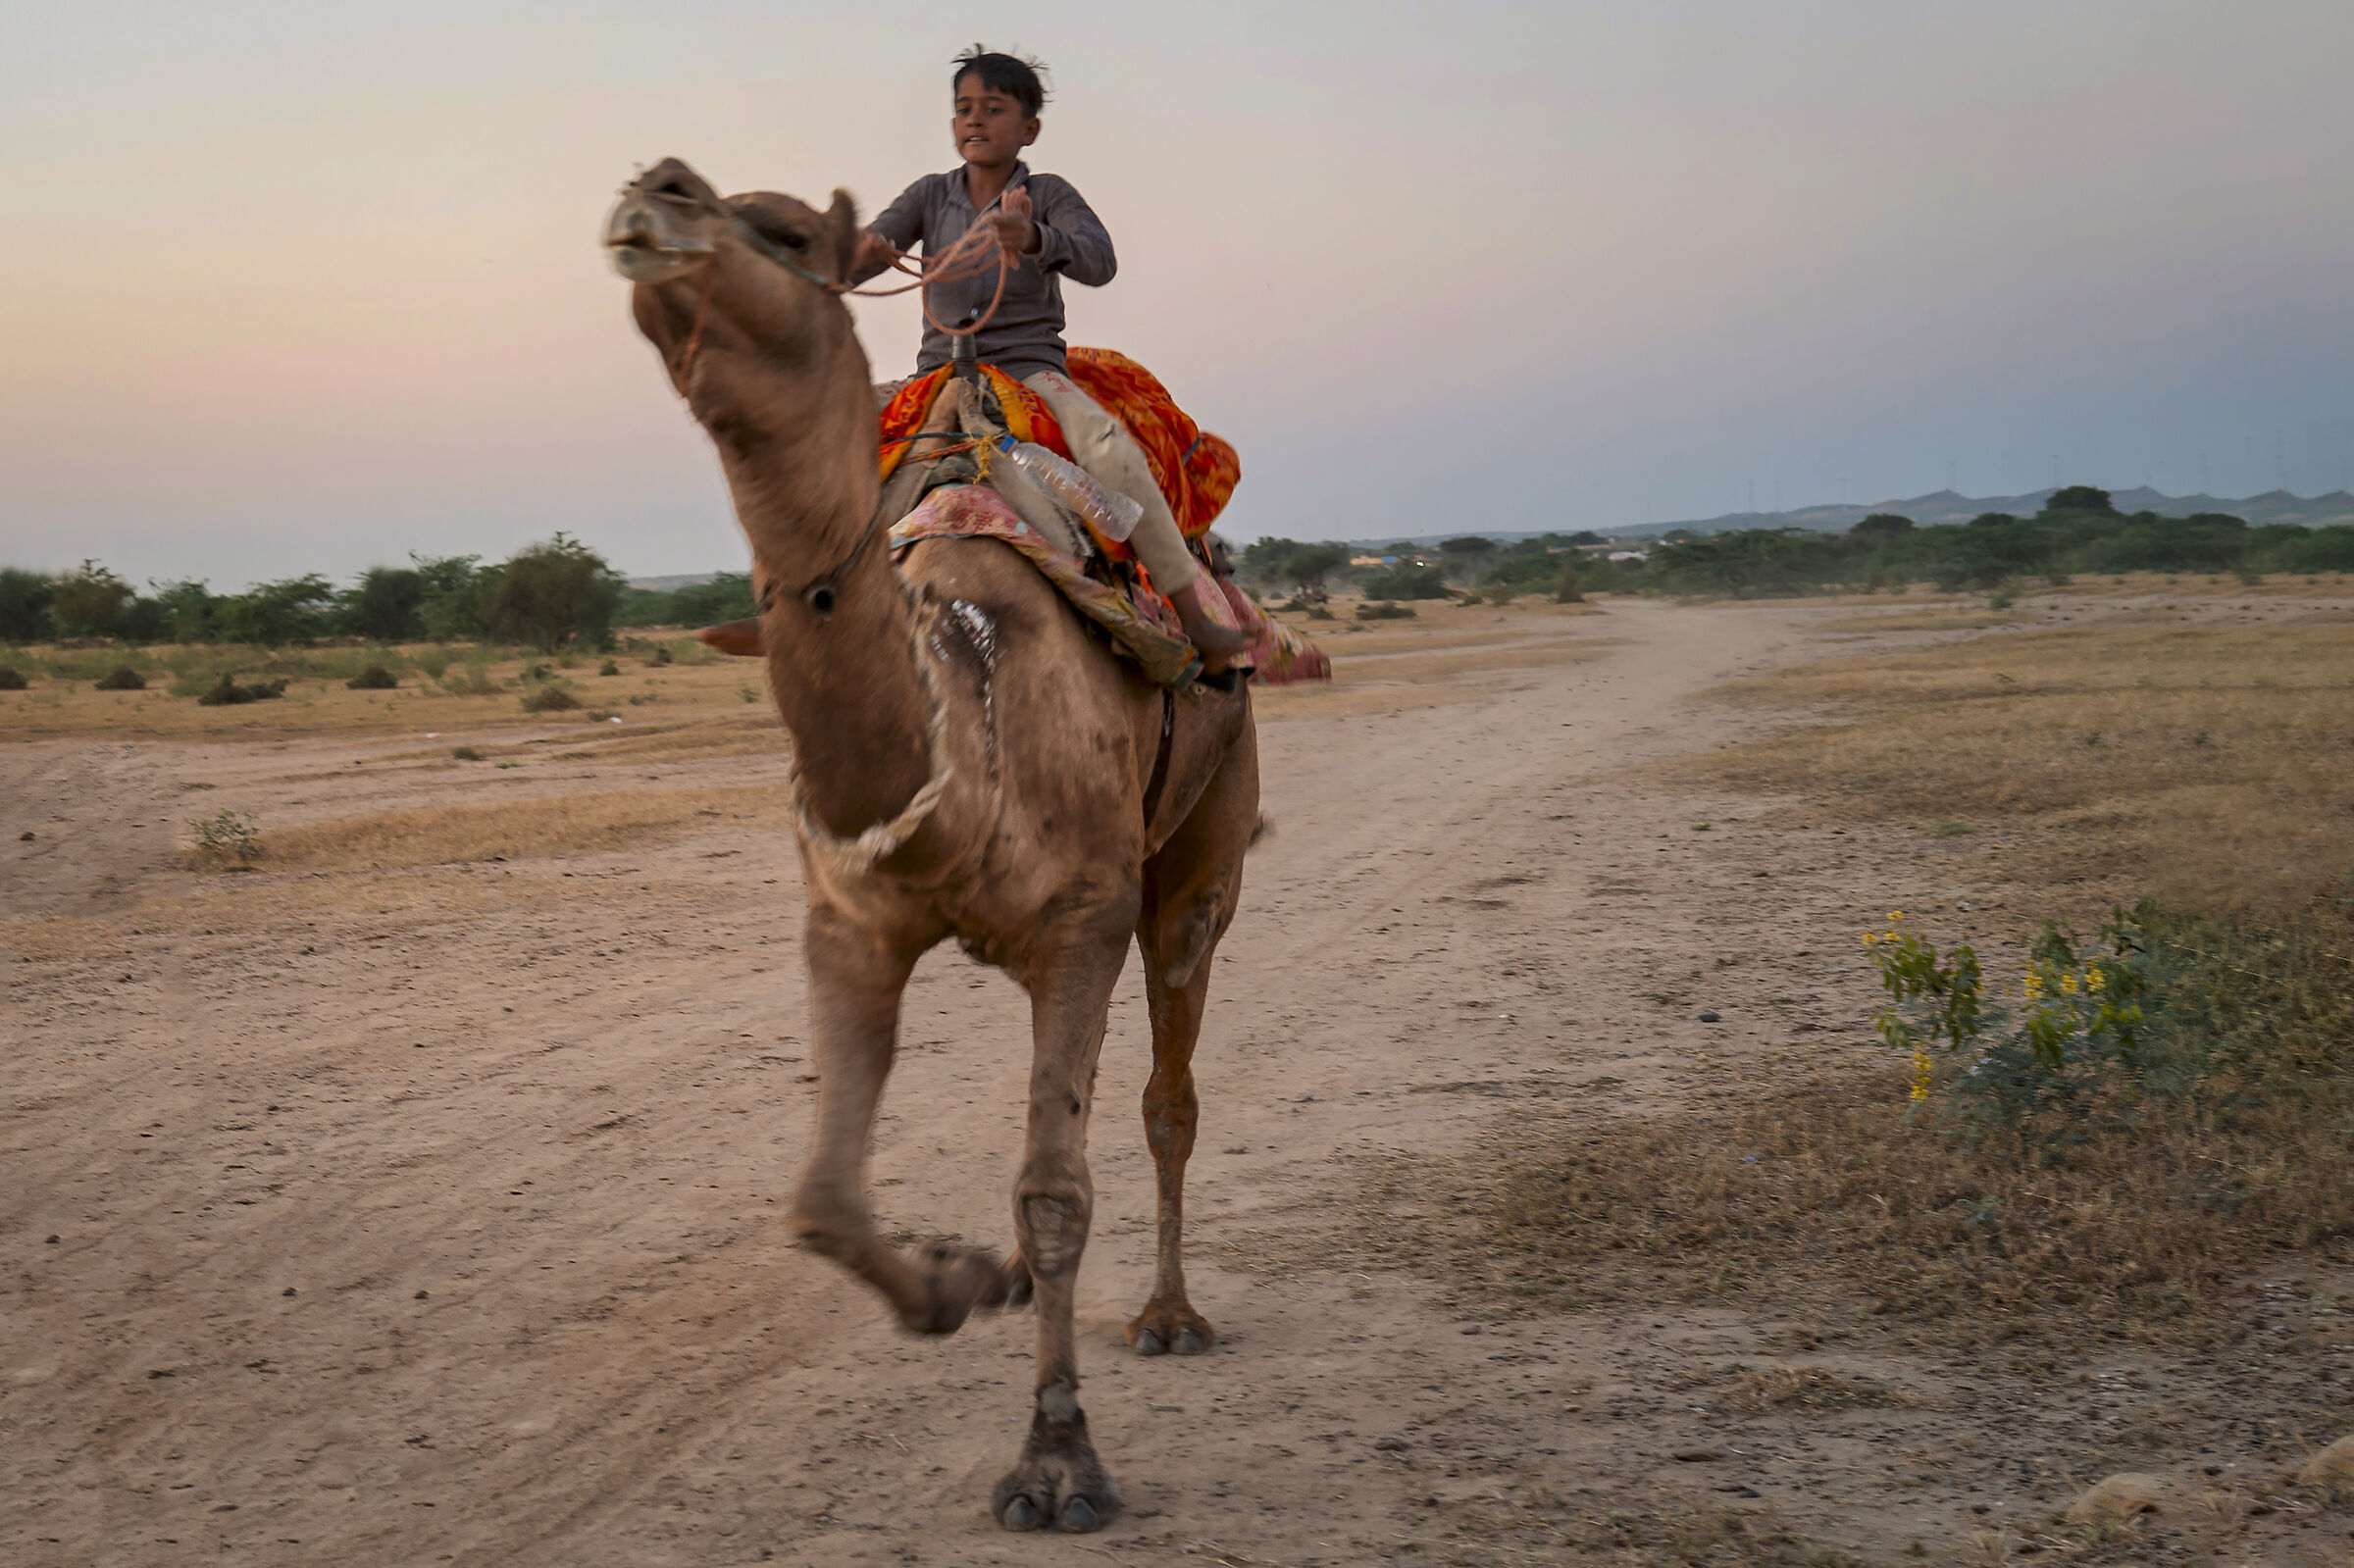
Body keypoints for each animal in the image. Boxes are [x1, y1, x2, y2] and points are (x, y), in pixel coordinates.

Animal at [603, 158, 1259, 1534]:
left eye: (785, 230)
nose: (654, 188)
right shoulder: (850, 921)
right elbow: (821, 1203)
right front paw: (955, 1283)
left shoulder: (1081, 921)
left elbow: (1058, 1189)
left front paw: (1058, 1463)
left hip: (1198, 853)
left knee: (1164, 1091)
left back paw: (1169, 1315)